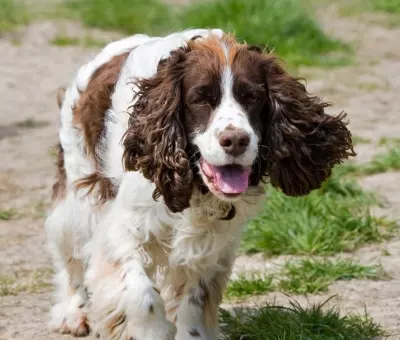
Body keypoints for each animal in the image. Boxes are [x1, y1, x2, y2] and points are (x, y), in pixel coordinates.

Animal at [45, 29, 354, 340]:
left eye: (252, 97)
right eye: (200, 100)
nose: (236, 140)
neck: (195, 186)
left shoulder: (211, 244)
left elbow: (195, 301)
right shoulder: (123, 230)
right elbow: (140, 295)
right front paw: (152, 330)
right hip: (80, 198)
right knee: (70, 258)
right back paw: (73, 313)